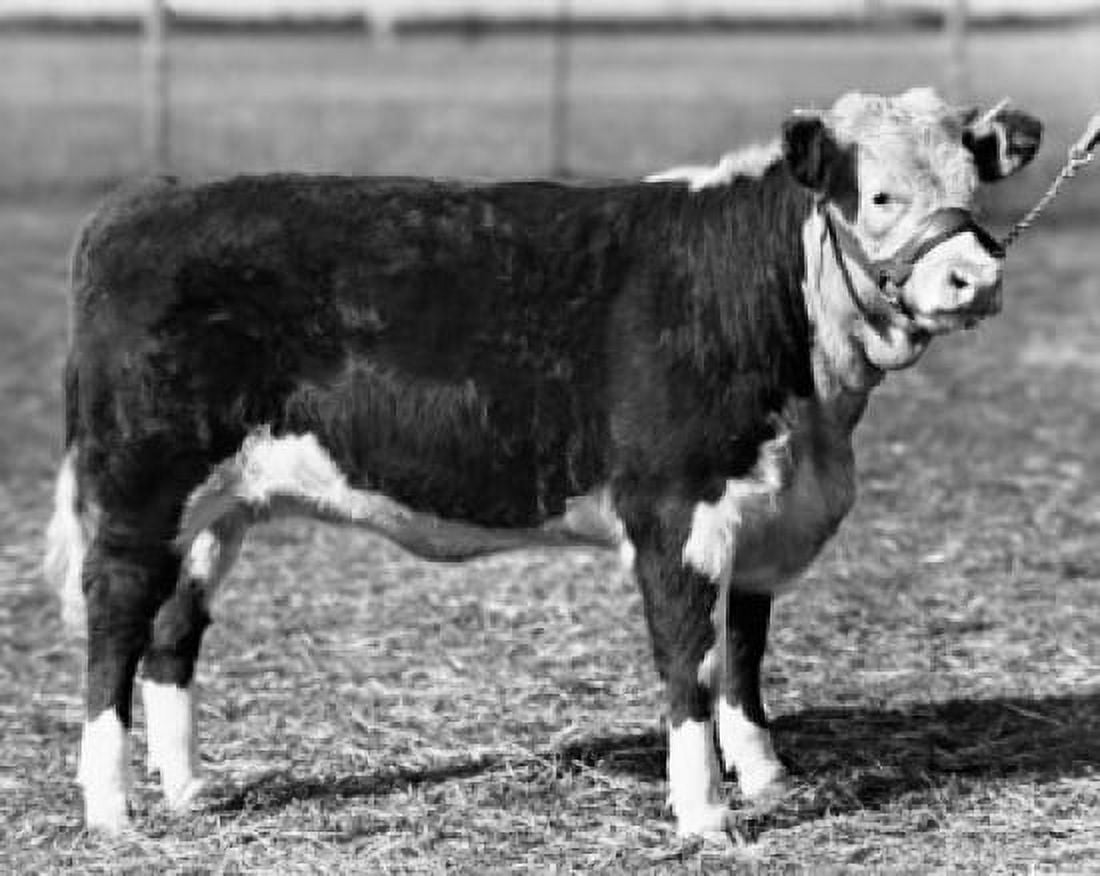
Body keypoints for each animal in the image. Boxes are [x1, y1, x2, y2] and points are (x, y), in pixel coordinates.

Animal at [45, 87, 1041, 837]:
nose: (976, 279)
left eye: (972, 182)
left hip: (218, 510)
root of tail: (150, 199)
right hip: (140, 489)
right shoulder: (674, 512)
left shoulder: (762, 508)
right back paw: (112, 809)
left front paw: (764, 777)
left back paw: (188, 789)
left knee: (173, 634)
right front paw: (706, 816)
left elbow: (745, 657)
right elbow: (691, 663)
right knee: (115, 625)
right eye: (878, 196)